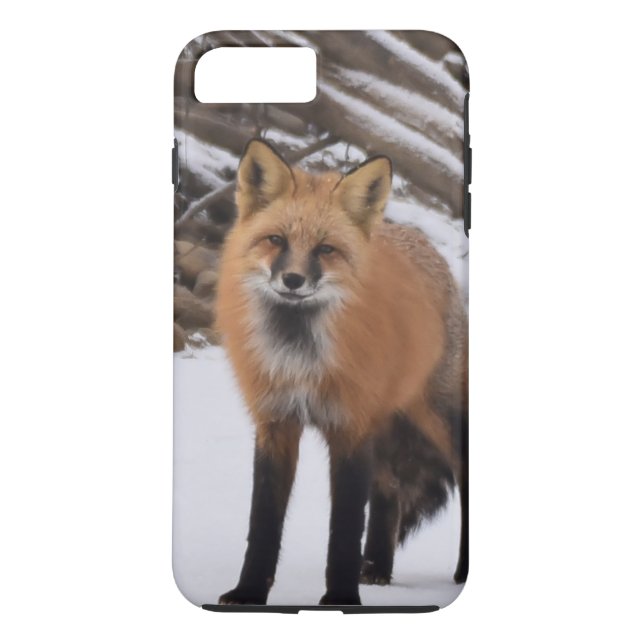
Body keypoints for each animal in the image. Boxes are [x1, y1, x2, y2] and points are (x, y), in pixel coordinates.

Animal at [215, 139, 468, 606]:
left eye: (325, 249)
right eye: (276, 240)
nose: (293, 280)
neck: (301, 358)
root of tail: (420, 240)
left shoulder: (350, 426)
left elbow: (345, 528)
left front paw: (340, 600)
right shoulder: (276, 422)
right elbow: (262, 523)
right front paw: (248, 593)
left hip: (437, 420)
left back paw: (460, 572)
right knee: (389, 494)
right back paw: (378, 569)